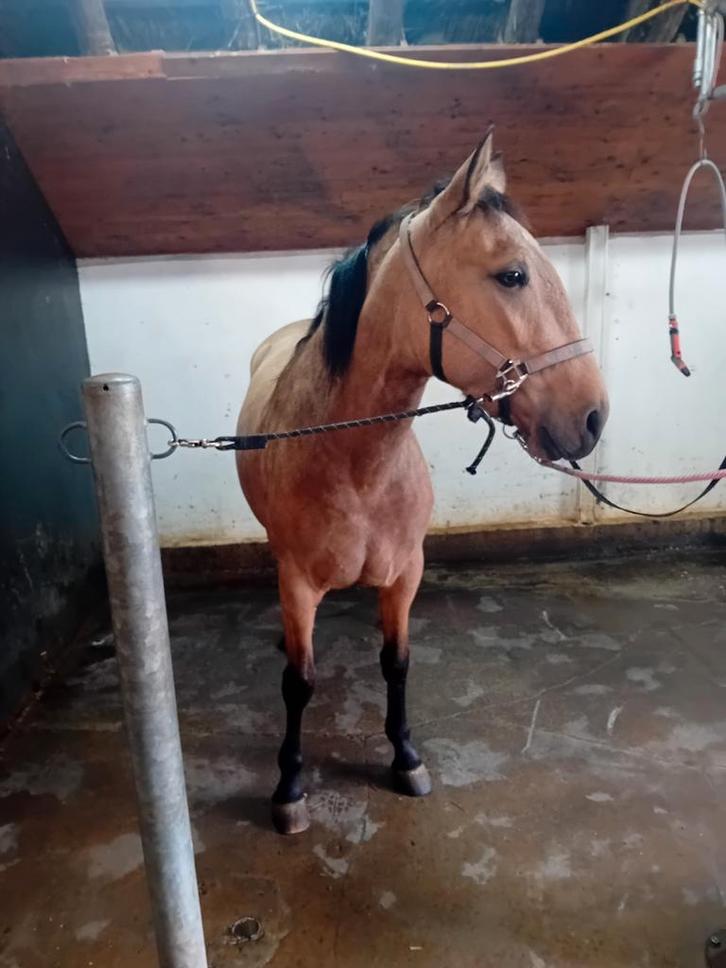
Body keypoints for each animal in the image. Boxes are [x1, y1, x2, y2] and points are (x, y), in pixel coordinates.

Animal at [236, 130, 609, 834]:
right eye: (512, 275)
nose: (593, 417)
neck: (354, 463)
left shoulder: (406, 571)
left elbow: (398, 663)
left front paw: (405, 756)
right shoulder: (297, 581)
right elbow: (299, 682)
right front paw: (289, 786)